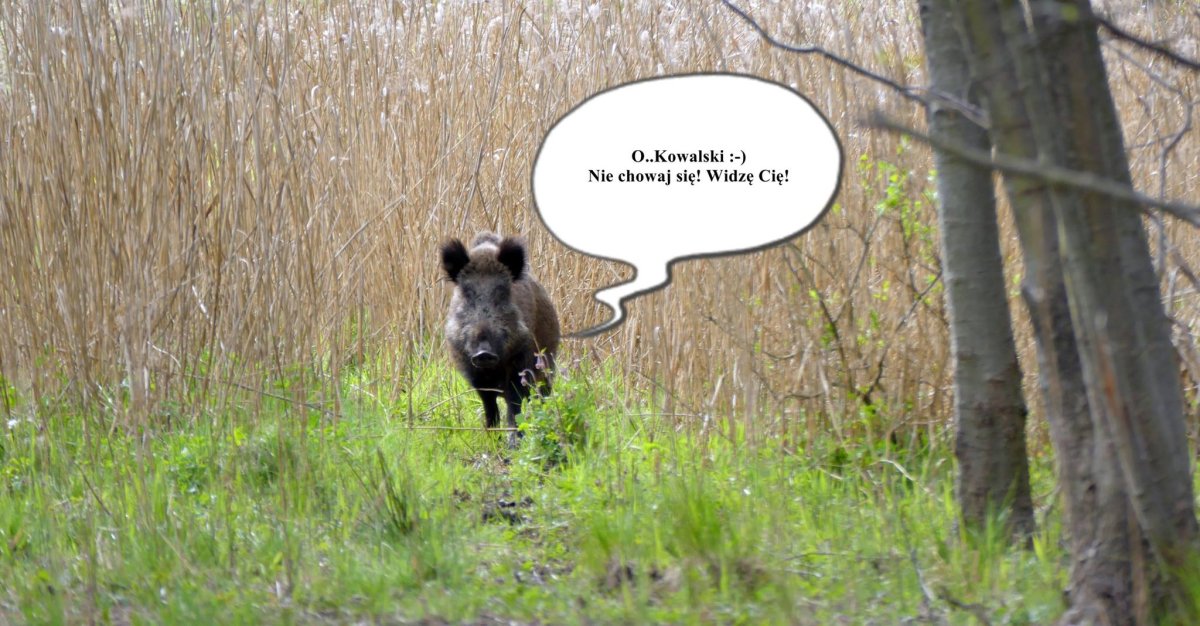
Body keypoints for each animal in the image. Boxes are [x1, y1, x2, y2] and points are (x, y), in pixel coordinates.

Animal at [440, 232, 560, 446]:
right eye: (467, 293)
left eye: (501, 293)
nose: (484, 353)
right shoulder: (474, 374)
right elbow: (489, 407)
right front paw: (492, 439)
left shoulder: (521, 365)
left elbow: (515, 406)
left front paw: (514, 444)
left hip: (547, 367)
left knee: (541, 396)